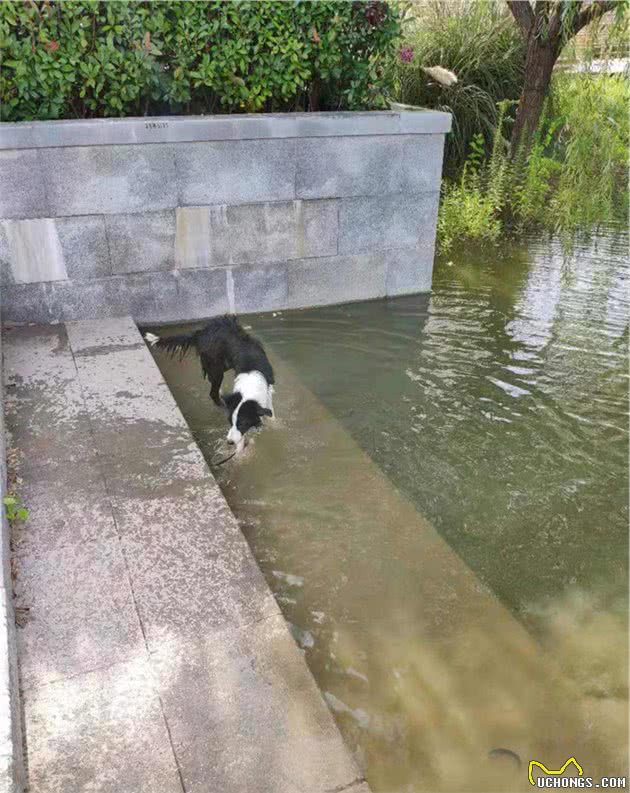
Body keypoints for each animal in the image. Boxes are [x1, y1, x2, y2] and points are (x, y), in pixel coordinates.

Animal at [149, 318, 278, 452]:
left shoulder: (267, 393)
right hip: (216, 367)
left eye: (242, 423)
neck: (250, 377)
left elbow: (271, 416)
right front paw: (240, 452)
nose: (229, 442)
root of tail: (201, 332)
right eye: (230, 422)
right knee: (212, 392)